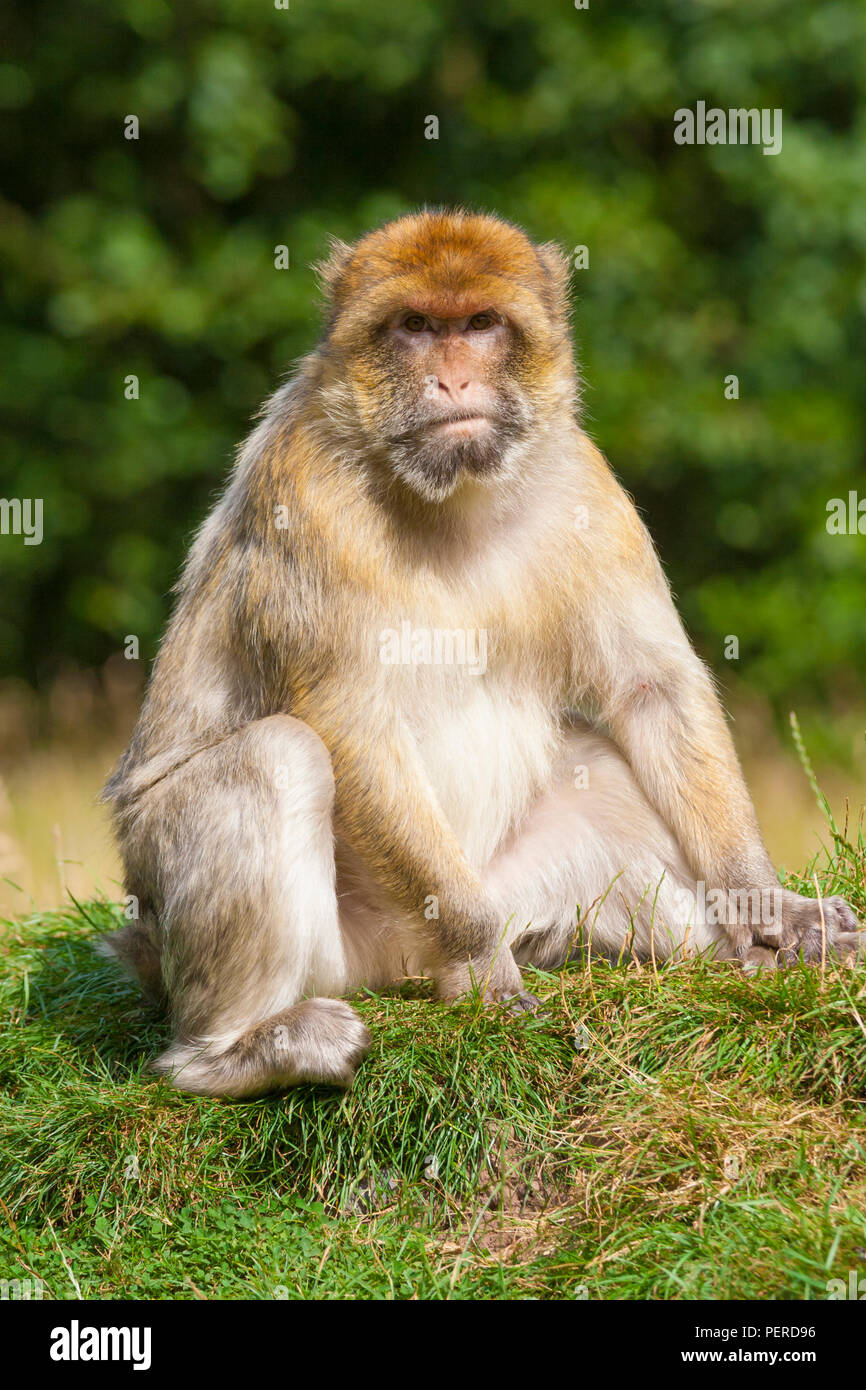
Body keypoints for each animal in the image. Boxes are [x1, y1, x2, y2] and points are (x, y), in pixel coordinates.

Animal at [101, 208, 862, 1099]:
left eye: (480, 325)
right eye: (415, 327)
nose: (453, 382)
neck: (449, 497)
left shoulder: (586, 484)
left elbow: (650, 688)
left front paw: (763, 904)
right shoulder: (305, 492)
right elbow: (349, 725)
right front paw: (480, 962)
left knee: (601, 771)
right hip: (293, 937)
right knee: (278, 756)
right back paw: (236, 1052)